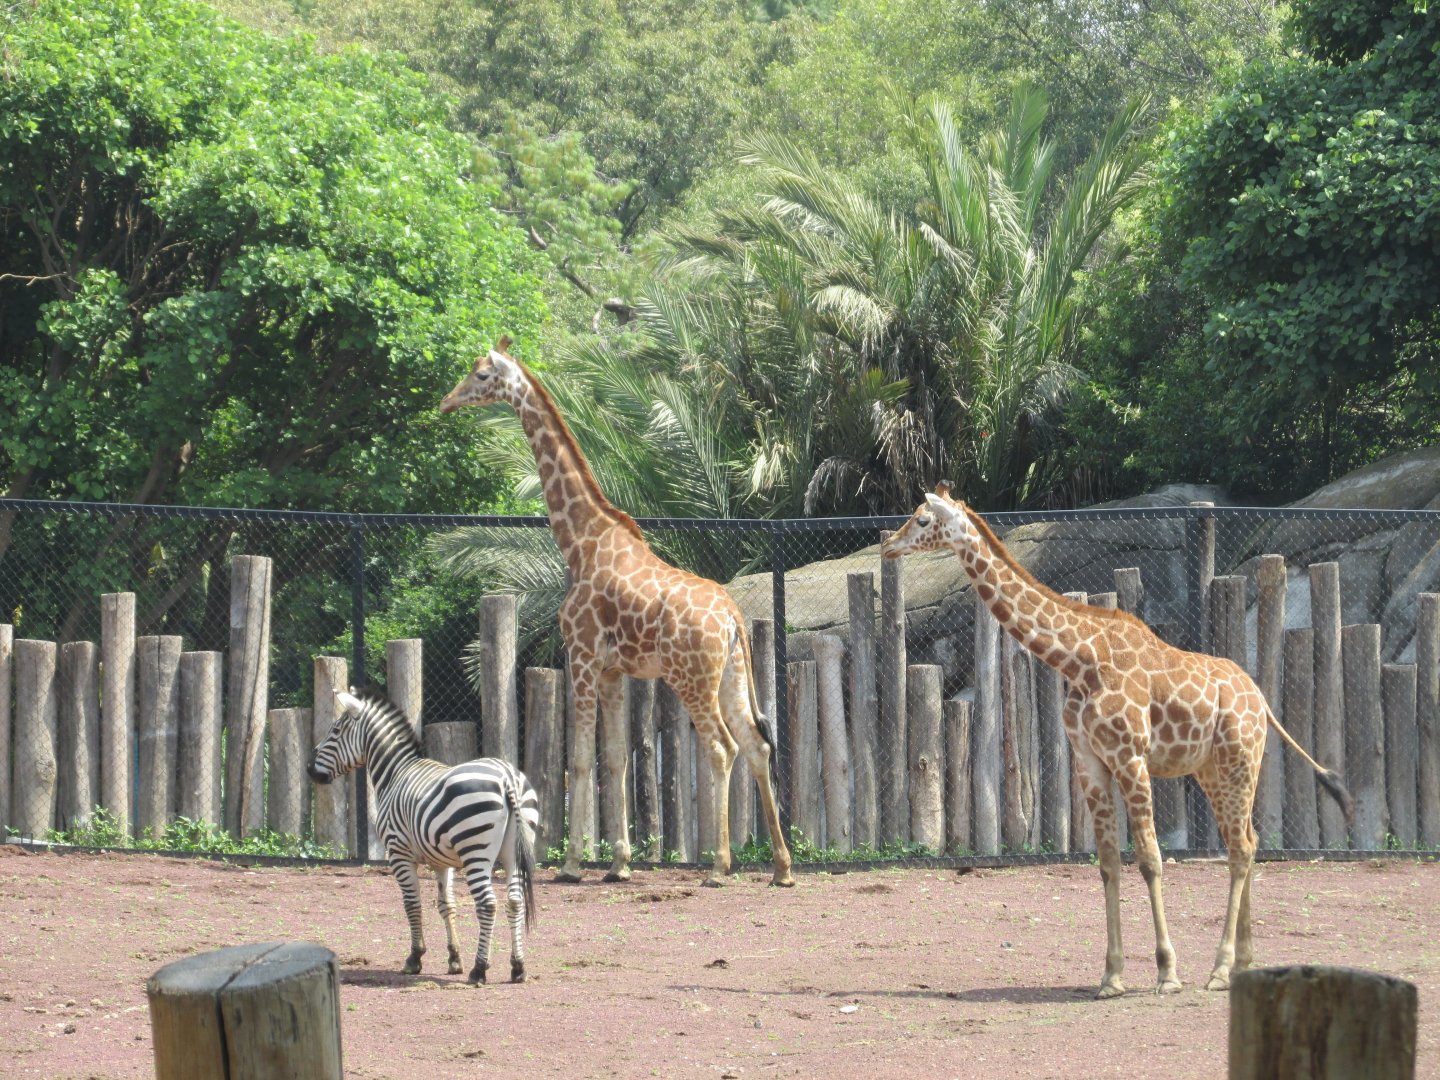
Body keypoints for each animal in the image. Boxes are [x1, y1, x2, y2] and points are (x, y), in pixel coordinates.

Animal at [308, 687, 539, 984]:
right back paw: (518, 967)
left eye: (335, 731)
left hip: (475, 851)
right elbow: (446, 905)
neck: (395, 773)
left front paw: (415, 958)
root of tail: (507, 776)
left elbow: (412, 904)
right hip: (514, 852)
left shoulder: (398, 853)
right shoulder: (442, 861)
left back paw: (479, 970)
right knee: (515, 901)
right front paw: (454, 959)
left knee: (487, 904)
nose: (309, 769)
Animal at [440, 337, 795, 888]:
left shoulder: (582, 655)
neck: (580, 541)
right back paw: (782, 868)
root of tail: (733, 618)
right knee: (756, 746)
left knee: (722, 748)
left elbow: (581, 760)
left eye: (480, 375)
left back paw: (719, 866)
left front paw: (569, 863)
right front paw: (619, 863)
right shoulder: (612, 670)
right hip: (734, 676)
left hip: (692, 678)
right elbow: (615, 762)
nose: (446, 402)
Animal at [881, 484, 1352, 998]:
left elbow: (1149, 858)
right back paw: (1241, 964)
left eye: (923, 520)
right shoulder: (1090, 760)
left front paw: (1167, 972)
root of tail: (1261, 699)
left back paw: (1220, 968)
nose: (888, 545)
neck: (1078, 659)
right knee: (1244, 840)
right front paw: (1110, 977)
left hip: (1240, 759)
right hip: (1210, 769)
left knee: (1243, 847)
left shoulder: (1130, 756)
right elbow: (1108, 862)